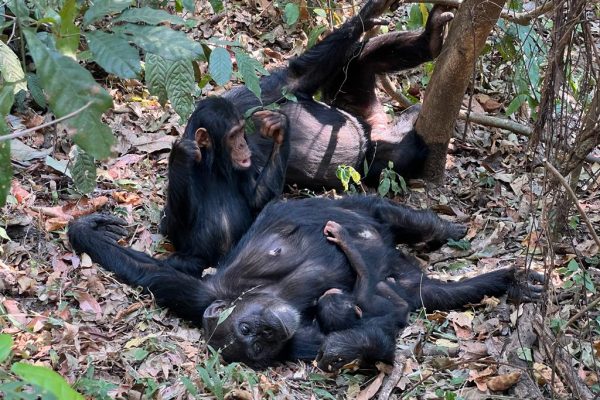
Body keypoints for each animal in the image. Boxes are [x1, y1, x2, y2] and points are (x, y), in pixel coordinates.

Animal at [67, 195, 544, 370]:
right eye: (255, 345)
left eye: (248, 328)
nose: (269, 330)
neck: (266, 298)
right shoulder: (299, 341)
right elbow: (375, 332)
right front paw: (344, 347)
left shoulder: (196, 293)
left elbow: (152, 272)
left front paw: (85, 229)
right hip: (408, 280)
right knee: (429, 293)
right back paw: (509, 281)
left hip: (362, 210)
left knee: (381, 211)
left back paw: (440, 228)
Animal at [159, 98, 290, 276]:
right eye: (233, 136)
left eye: (241, 131)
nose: (242, 144)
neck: (214, 166)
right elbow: (174, 220)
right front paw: (181, 154)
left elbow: (256, 199)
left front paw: (279, 126)